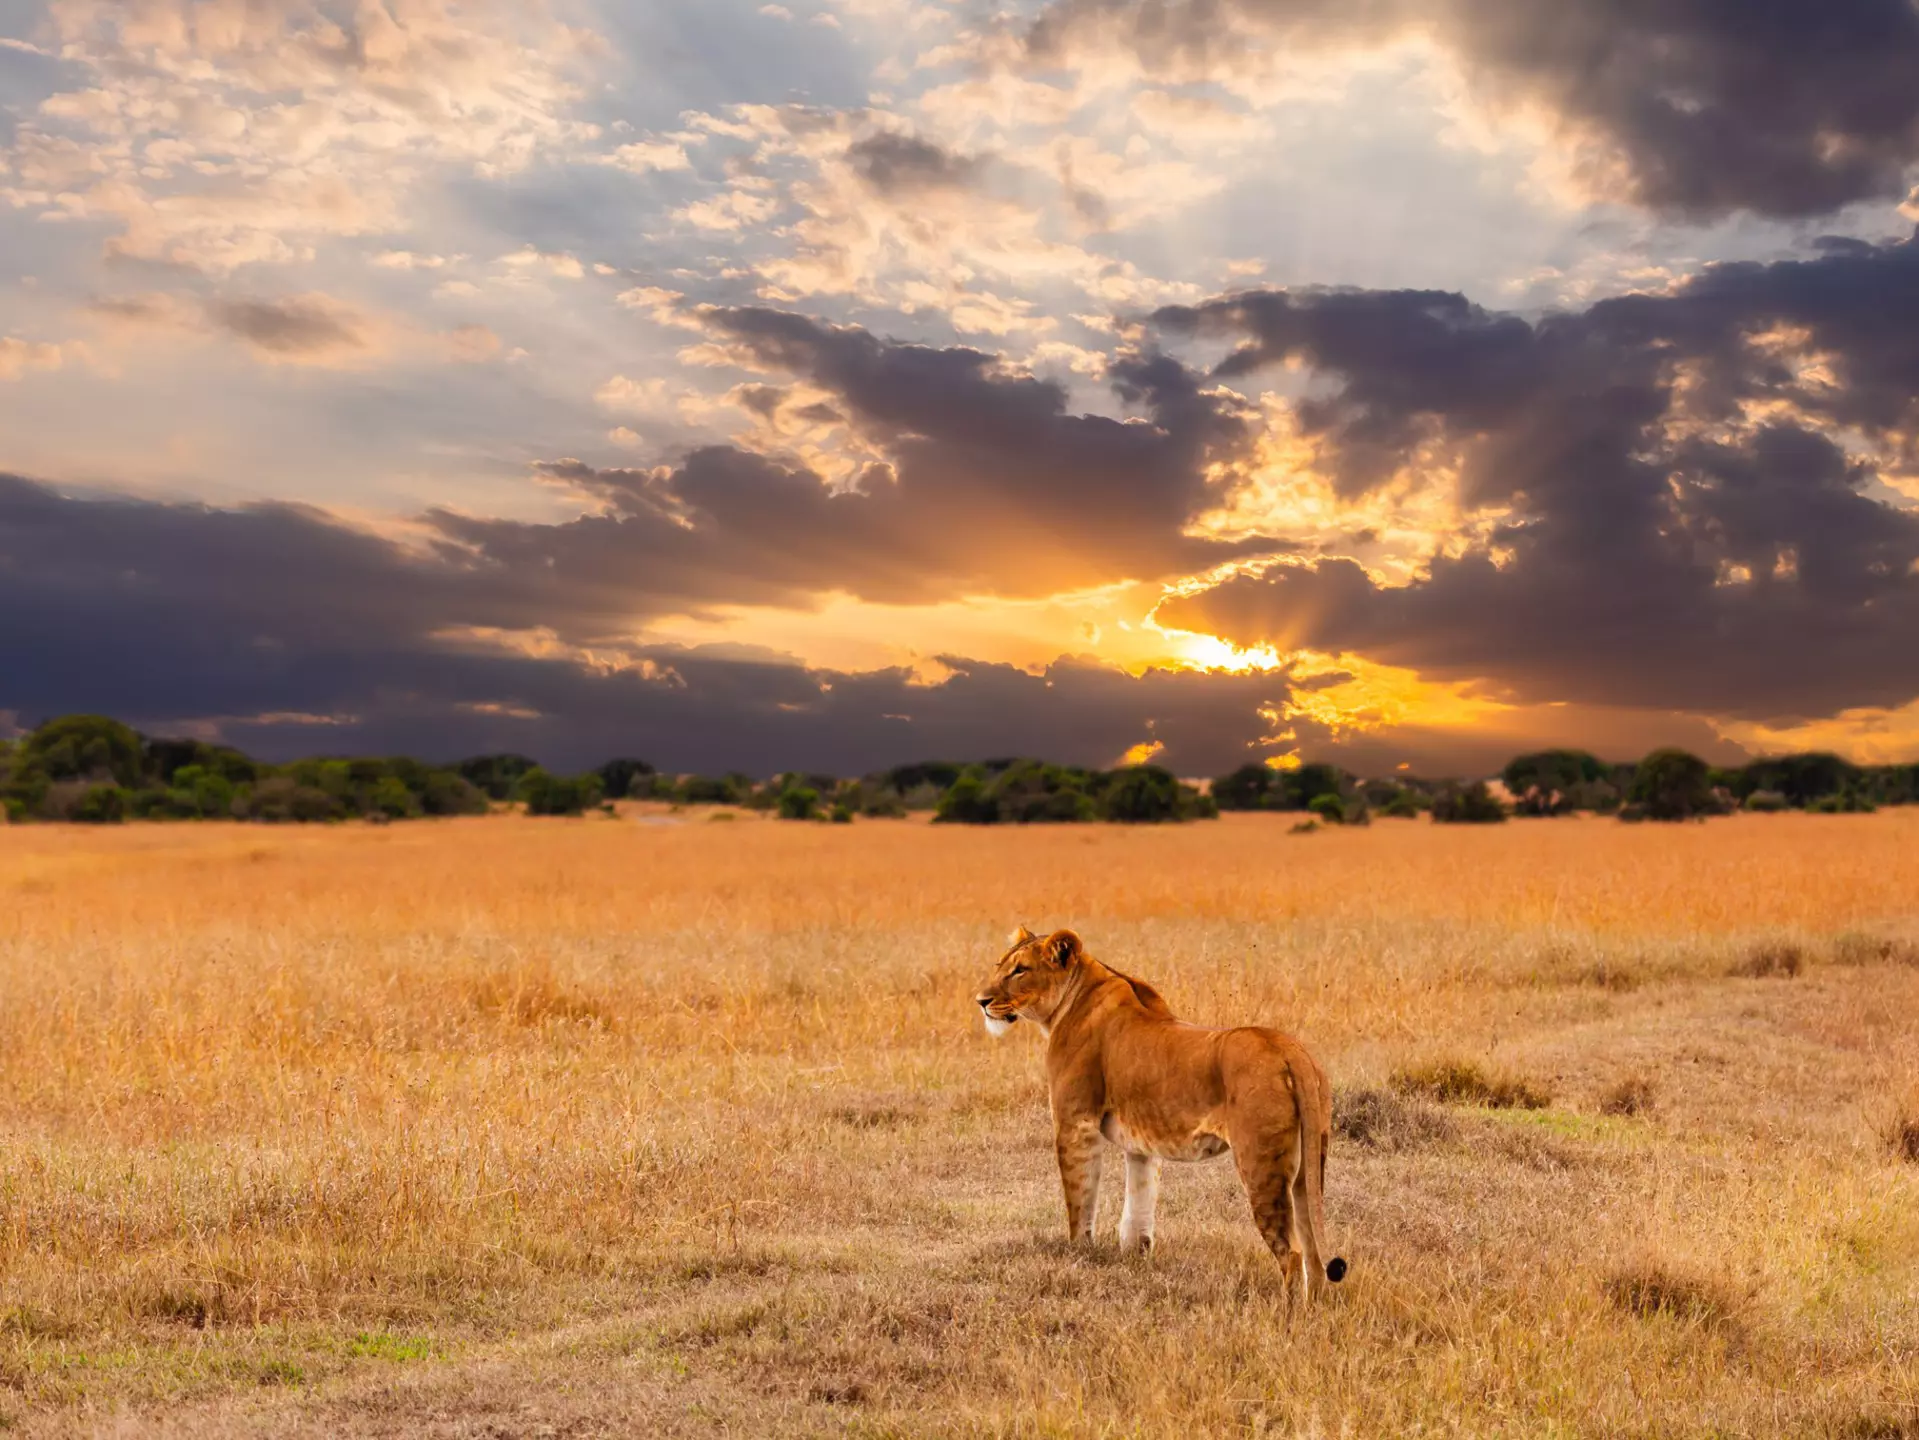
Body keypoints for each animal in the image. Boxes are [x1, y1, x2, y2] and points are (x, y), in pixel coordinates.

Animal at [975, 925, 1347, 1300]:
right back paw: (1315, 1305)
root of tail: (1289, 1049)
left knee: (1292, 1252)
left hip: (1261, 1164)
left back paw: (1287, 1310)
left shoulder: (1075, 1123)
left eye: (1020, 970)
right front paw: (1134, 1261)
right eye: (1001, 965)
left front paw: (1078, 1256)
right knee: (1312, 1249)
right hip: (1310, 1164)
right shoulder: (1141, 1144)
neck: (1072, 1000)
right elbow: (1137, 1208)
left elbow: (1079, 1199)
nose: (981, 1001)